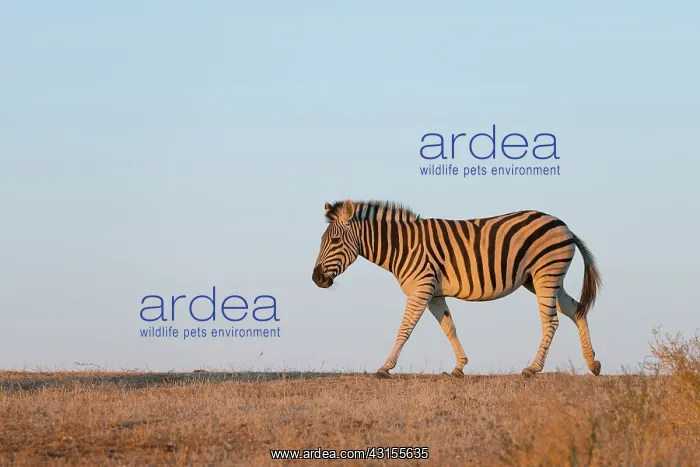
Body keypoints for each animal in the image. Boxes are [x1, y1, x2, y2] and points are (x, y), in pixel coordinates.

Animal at [311, 199, 602, 378]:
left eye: (334, 241)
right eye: (323, 240)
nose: (316, 279)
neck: (402, 246)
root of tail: (563, 224)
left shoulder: (421, 288)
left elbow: (404, 329)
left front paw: (385, 367)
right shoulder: (435, 293)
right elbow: (449, 327)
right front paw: (460, 367)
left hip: (545, 275)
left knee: (551, 321)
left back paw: (533, 368)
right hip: (544, 279)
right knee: (577, 310)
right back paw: (593, 363)